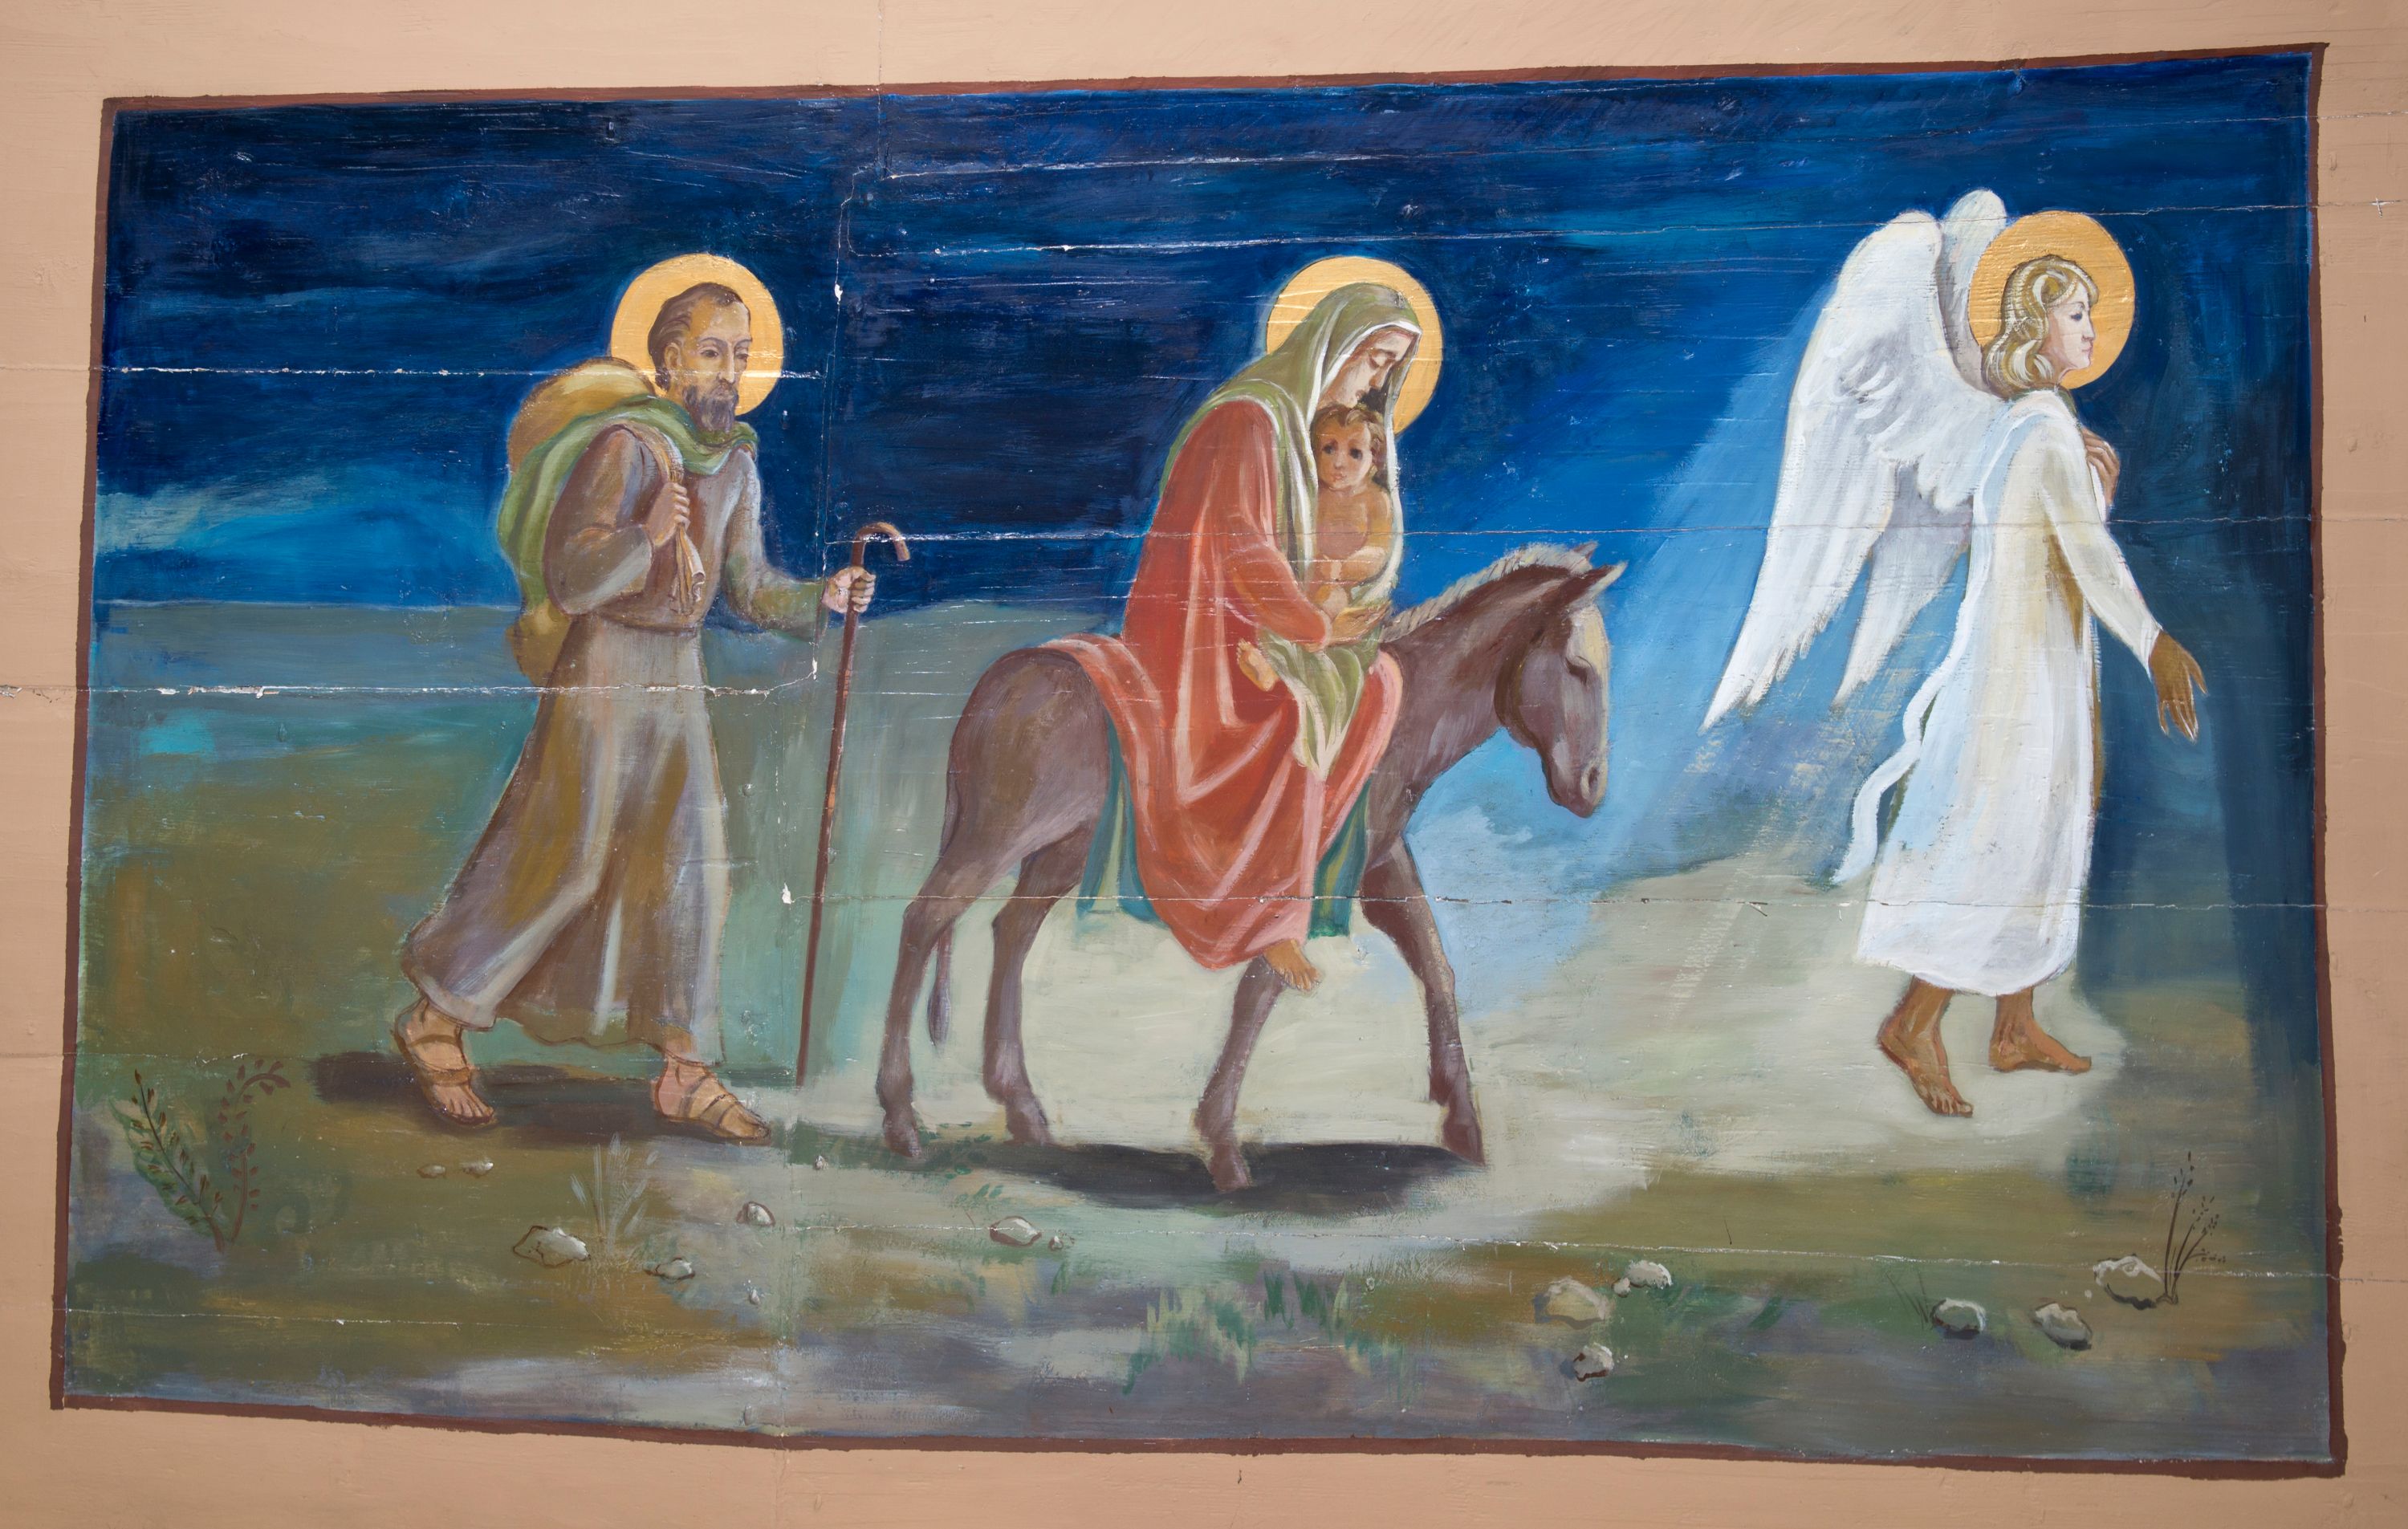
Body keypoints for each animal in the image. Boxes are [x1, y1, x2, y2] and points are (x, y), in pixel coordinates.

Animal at [876, 543, 1623, 1192]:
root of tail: (1002, 676)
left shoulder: (1381, 866)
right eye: (1578, 668)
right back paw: (900, 1117)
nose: (1591, 787)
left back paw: (1022, 1109)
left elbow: (1435, 964)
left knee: (1010, 934)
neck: (1394, 717)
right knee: (923, 920)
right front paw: (1222, 1142)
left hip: (1059, 846)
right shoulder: (1301, 883)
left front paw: (1461, 1118)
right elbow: (1261, 990)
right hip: (997, 833)